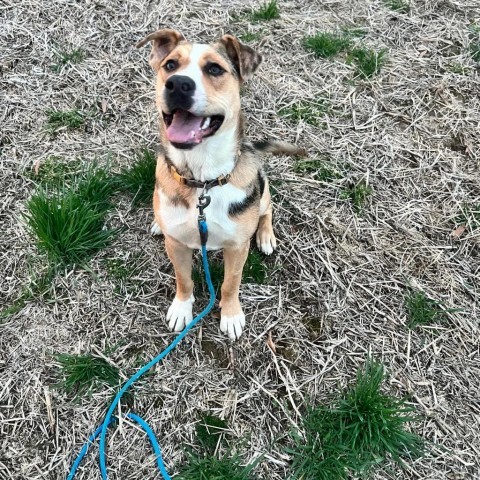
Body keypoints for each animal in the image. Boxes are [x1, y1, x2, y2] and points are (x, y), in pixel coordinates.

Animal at [137, 29, 304, 342]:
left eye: (215, 69)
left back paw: (266, 236)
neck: (203, 179)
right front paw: (182, 309)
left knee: (268, 208)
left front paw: (231, 315)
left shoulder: (237, 247)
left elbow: (230, 283)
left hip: (262, 189)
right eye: (170, 65)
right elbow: (184, 278)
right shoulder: (177, 244)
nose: (178, 84)